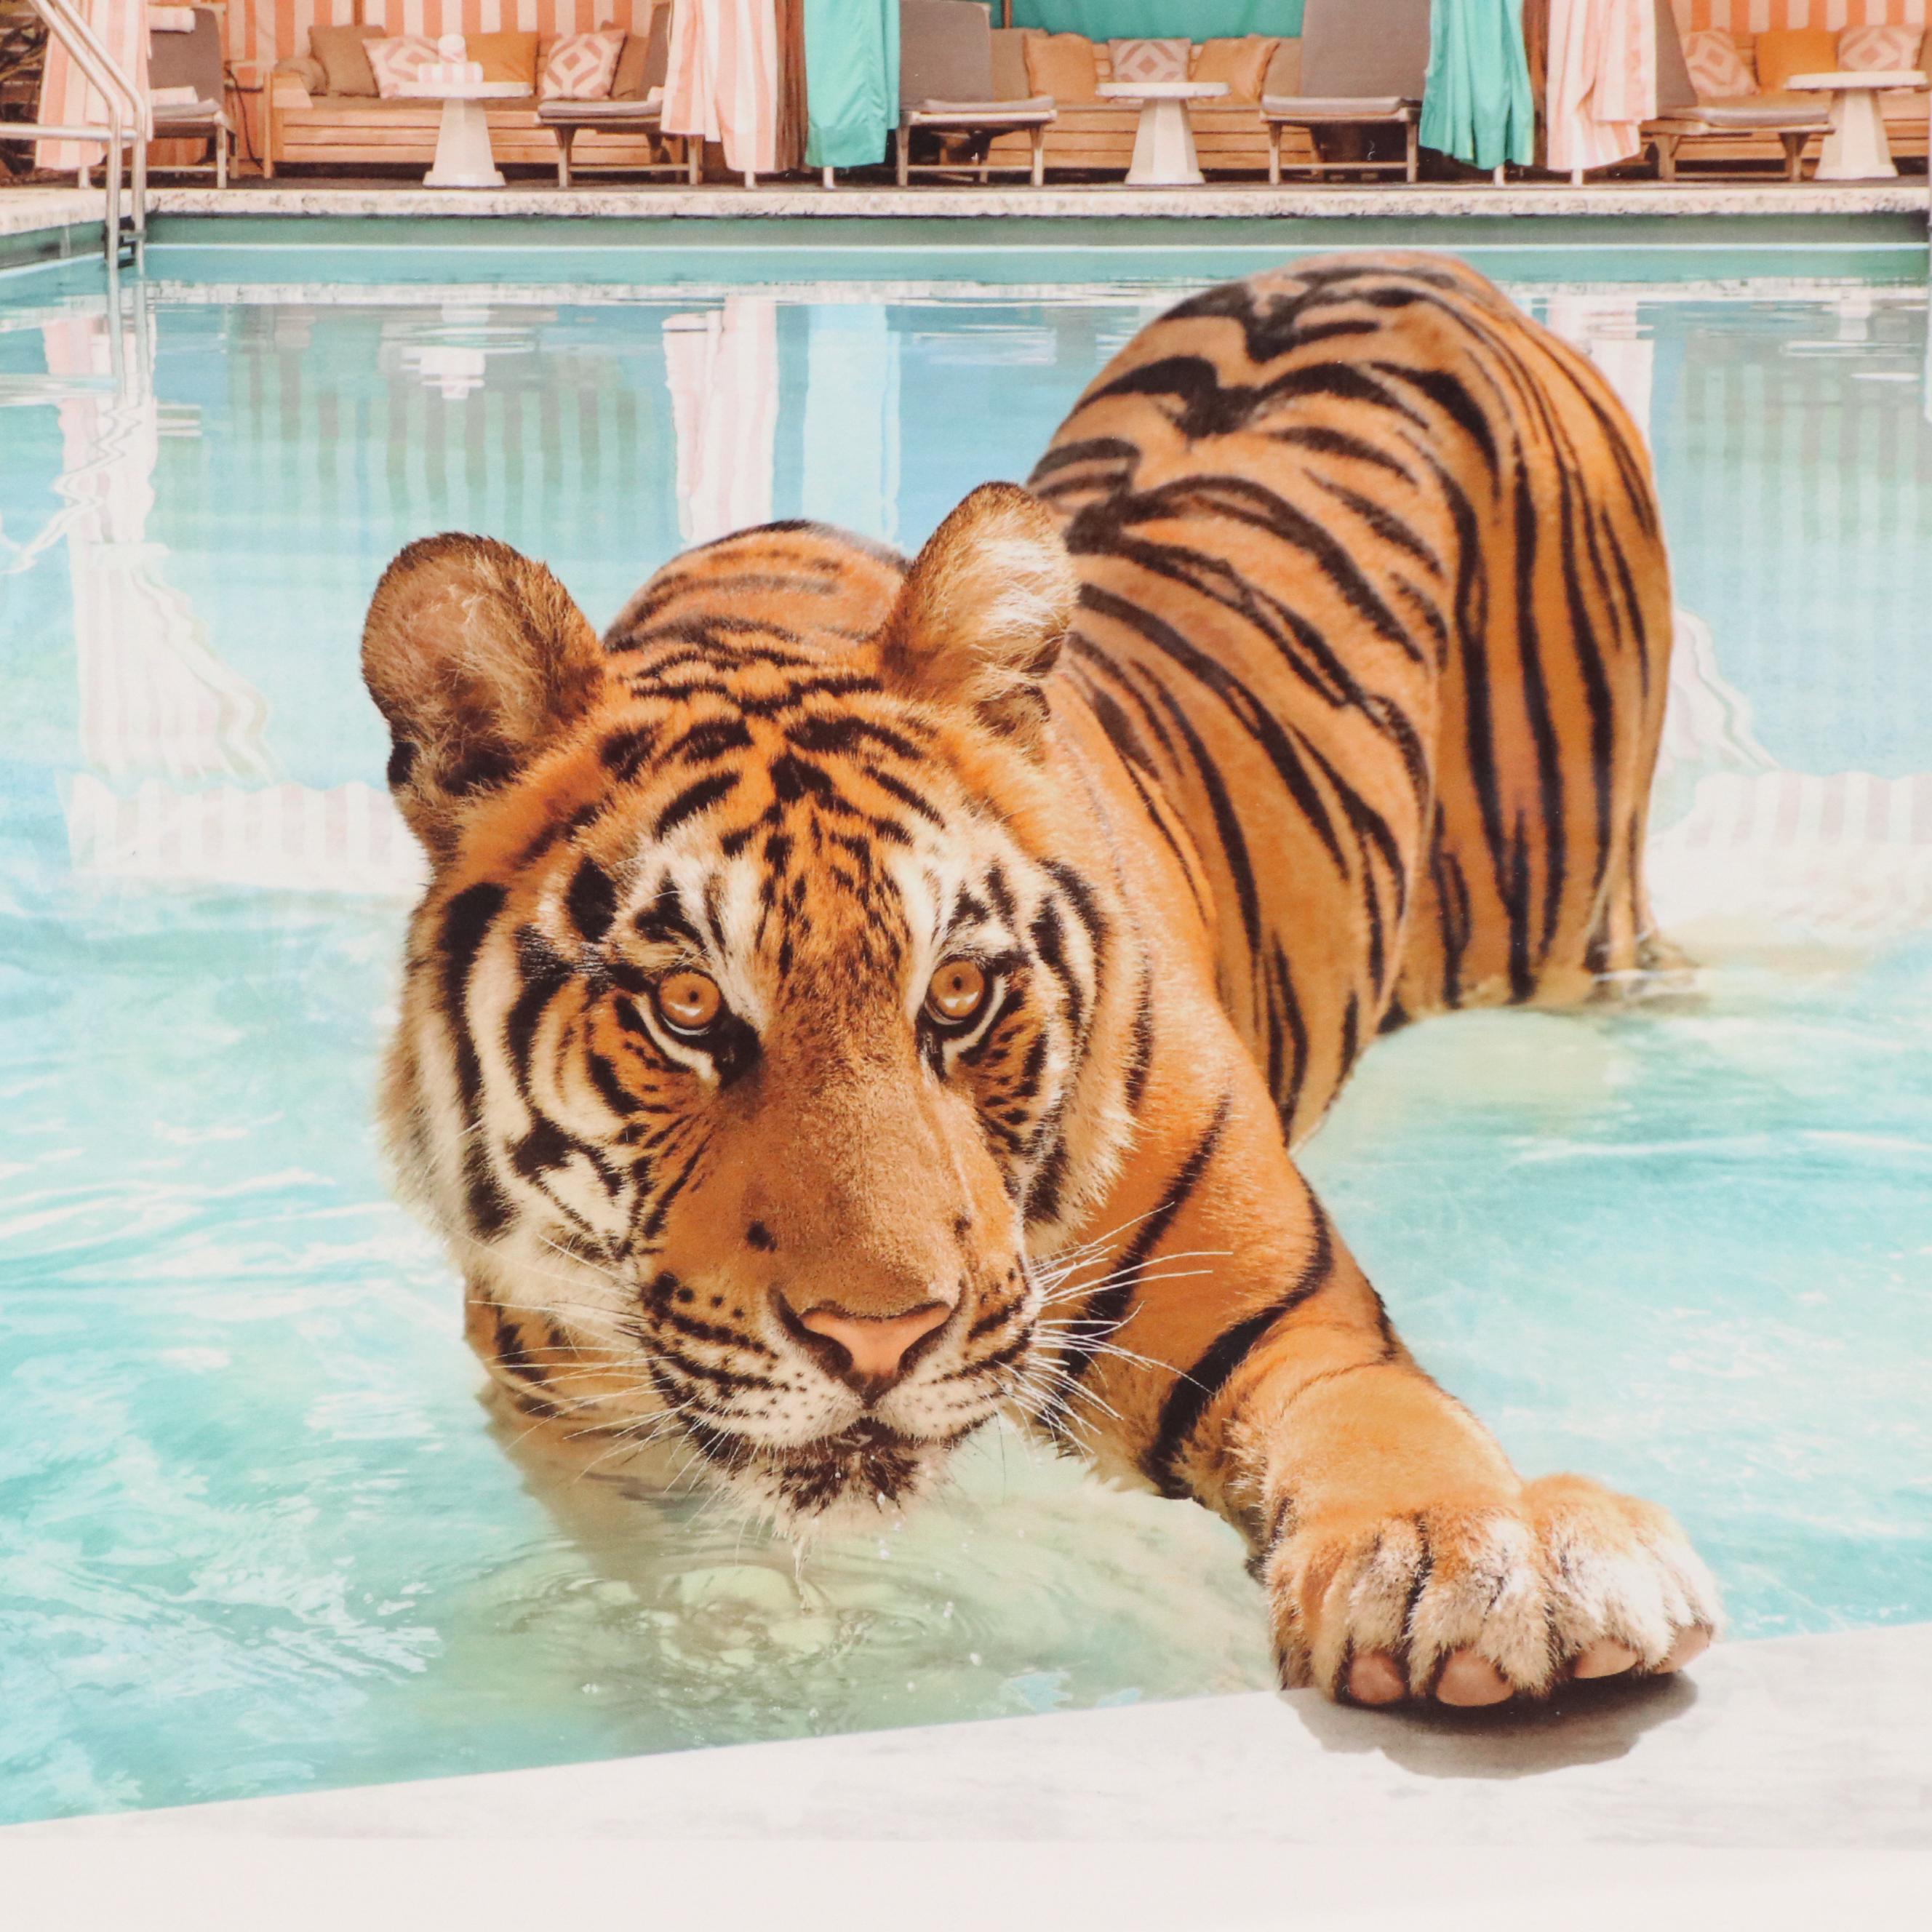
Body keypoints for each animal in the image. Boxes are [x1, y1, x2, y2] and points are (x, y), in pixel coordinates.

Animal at [360, 252, 1720, 1710]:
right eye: (686, 1008)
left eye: (957, 994)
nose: (879, 1343)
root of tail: (1422, 261)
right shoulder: (588, 1433)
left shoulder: (1295, 1323)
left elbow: (1385, 1428)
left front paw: (1474, 1559)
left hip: (1572, 924)